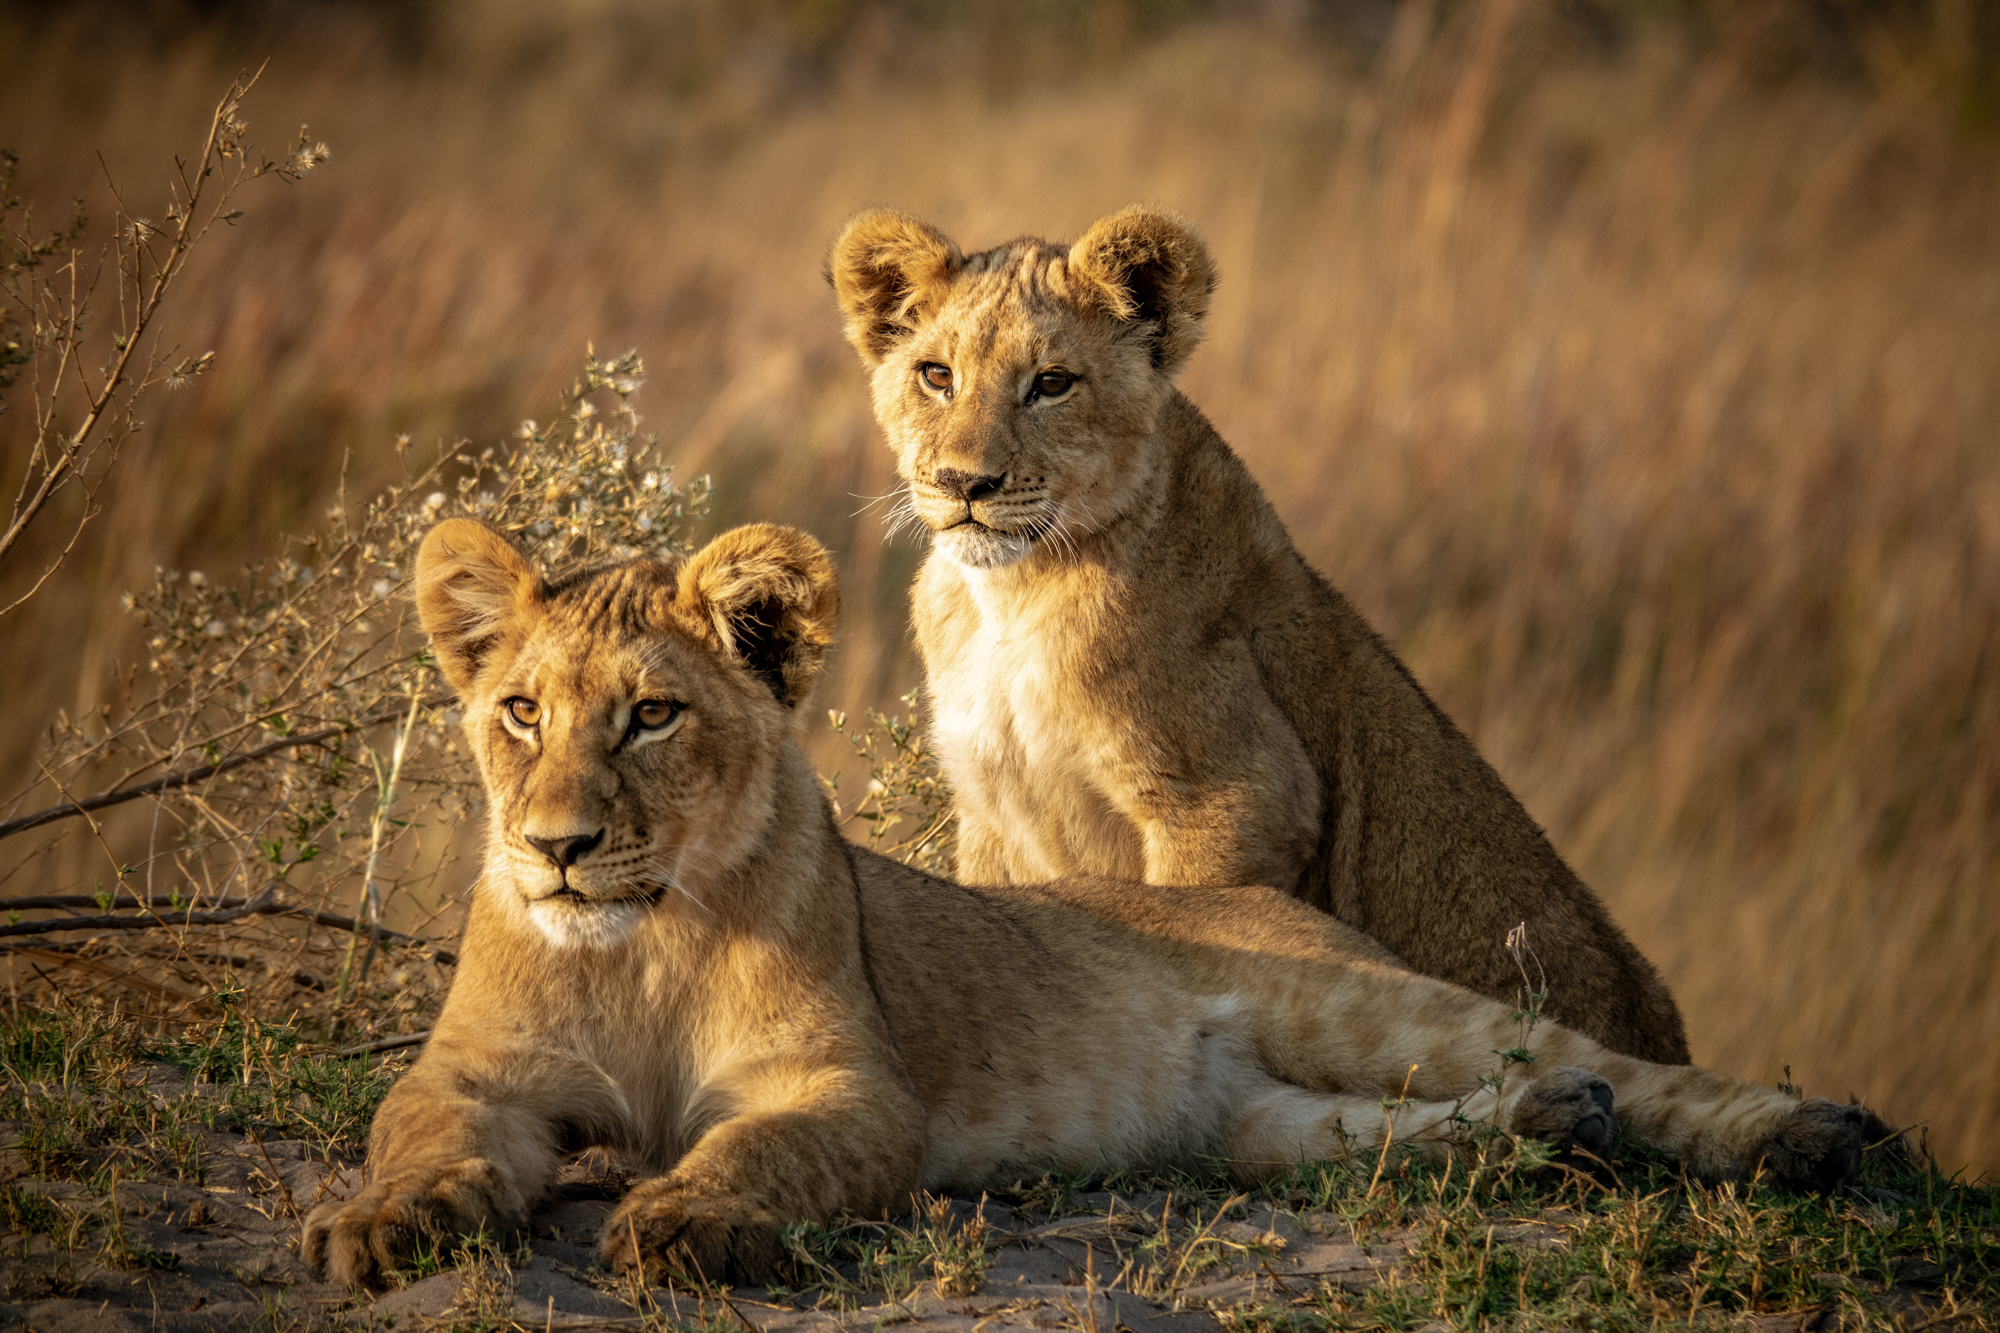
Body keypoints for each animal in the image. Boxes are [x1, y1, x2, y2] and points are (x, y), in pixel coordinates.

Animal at [302, 518, 1878, 1288]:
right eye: (519, 711)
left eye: (650, 717)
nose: (558, 847)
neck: (637, 944)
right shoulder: (477, 1071)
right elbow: (417, 1133)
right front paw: (383, 1226)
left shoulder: (848, 1086)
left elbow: (758, 1150)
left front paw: (685, 1224)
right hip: (1256, 1127)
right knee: (1388, 1136)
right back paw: (1552, 1136)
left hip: (1360, 1001)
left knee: (1616, 1065)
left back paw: (1802, 1133)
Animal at [827, 206, 1691, 1065]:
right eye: (936, 375)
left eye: (1052, 383)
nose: (964, 483)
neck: (1010, 596)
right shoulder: (990, 816)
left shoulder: (1237, 799)